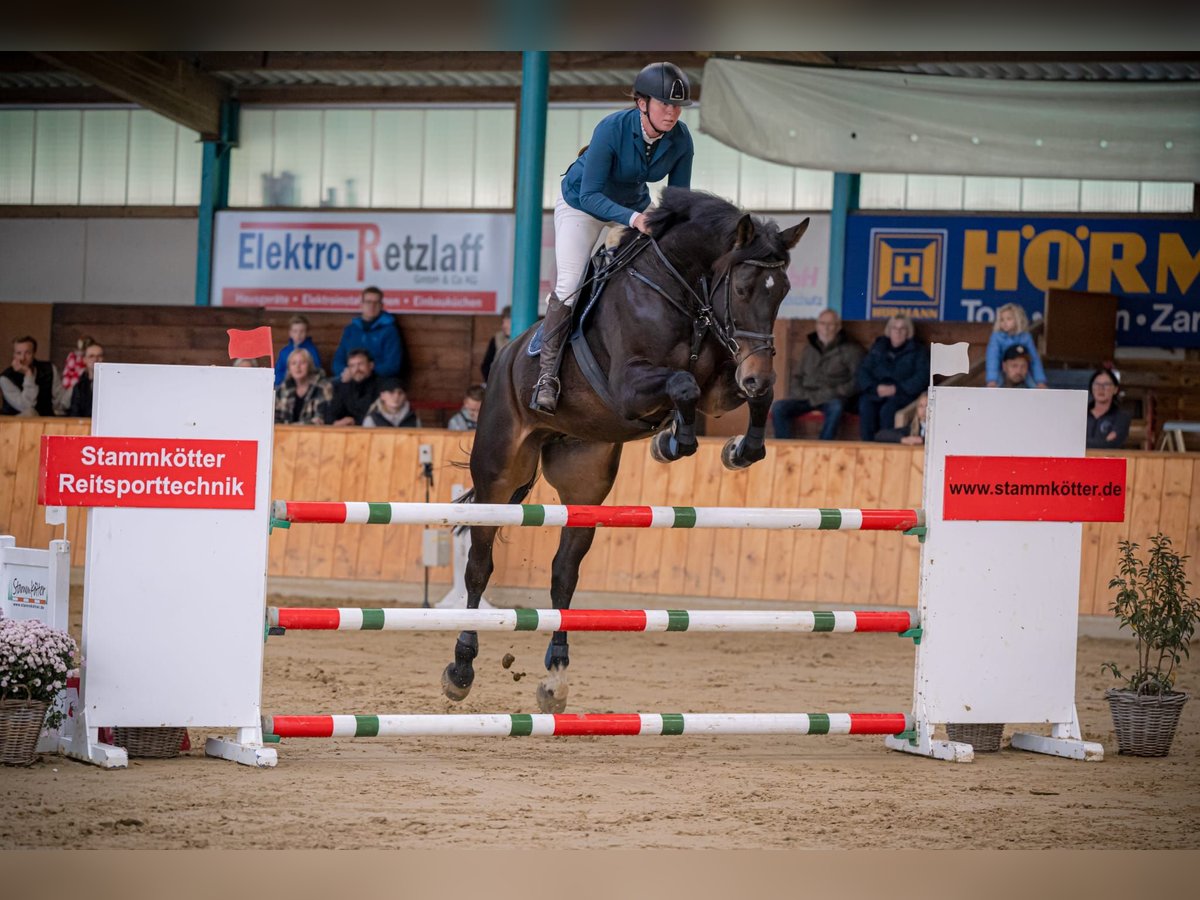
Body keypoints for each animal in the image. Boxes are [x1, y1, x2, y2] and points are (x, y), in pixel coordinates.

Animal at [441, 188, 806, 710]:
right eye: (742, 289)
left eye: (782, 291)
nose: (758, 371)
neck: (683, 291)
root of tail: (506, 357)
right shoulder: (630, 387)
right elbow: (682, 385)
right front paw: (674, 441)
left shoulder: (721, 385)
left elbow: (741, 396)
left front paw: (736, 449)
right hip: (498, 474)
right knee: (479, 565)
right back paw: (461, 668)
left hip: (585, 485)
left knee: (564, 574)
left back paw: (555, 675)